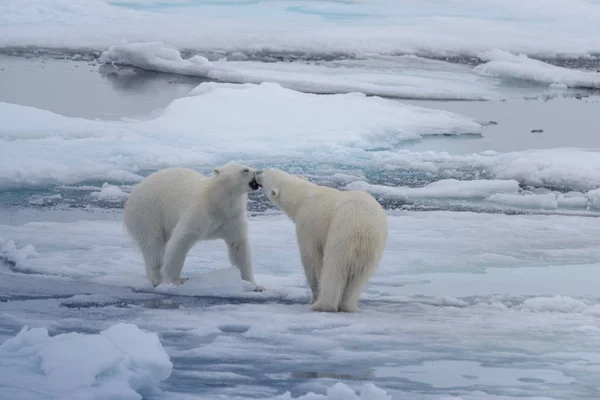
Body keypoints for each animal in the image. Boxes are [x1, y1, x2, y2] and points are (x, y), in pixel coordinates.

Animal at [123, 162, 262, 290]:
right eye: (245, 170)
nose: (258, 171)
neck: (218, 200)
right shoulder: (199, 212)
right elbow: (181, 240)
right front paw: (174, 281)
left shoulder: (232, 217)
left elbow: (238, 246)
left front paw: (254, 285)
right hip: (147, 213)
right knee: (152, 245)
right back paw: (157, 279)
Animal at [256, 169, 390, 312]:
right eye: (267, 169)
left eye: (263, 175)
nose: (257, 172)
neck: (303, 197)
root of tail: (364, 226)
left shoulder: (308, 224)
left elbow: (311, 258)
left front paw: (315, 295)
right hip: (374, 246)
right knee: (360, 277)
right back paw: (348, 306)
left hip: (341, 234)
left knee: (334, 267)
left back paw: (323, 304)